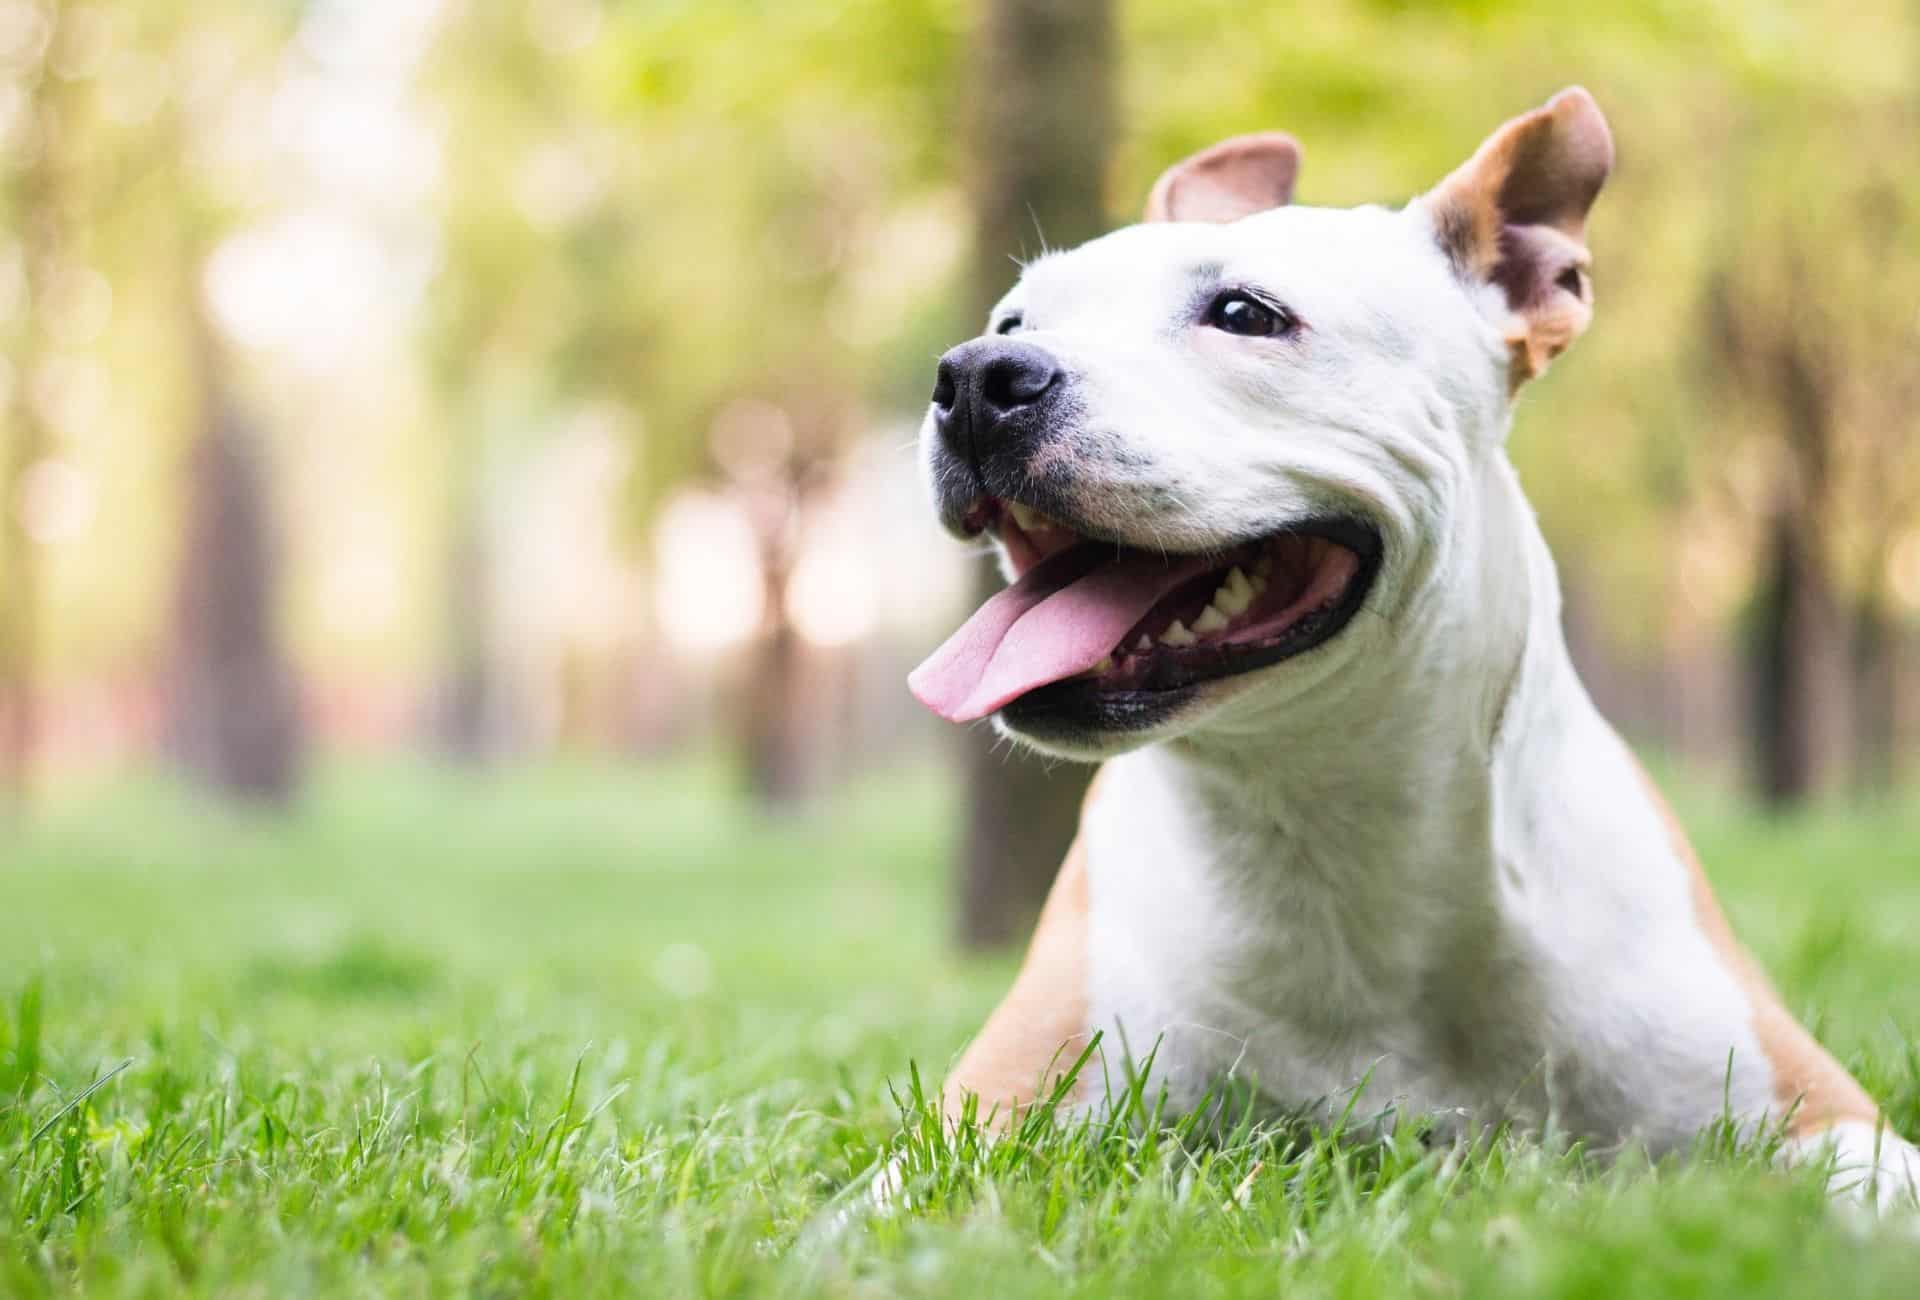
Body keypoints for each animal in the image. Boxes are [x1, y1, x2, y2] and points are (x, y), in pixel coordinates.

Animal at [902, 86, 1920, 1198]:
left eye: (1246, 314)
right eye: (1012, 321)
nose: (975, 375)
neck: (1329, 816)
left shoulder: (1824, 1112)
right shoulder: (984, 1122)